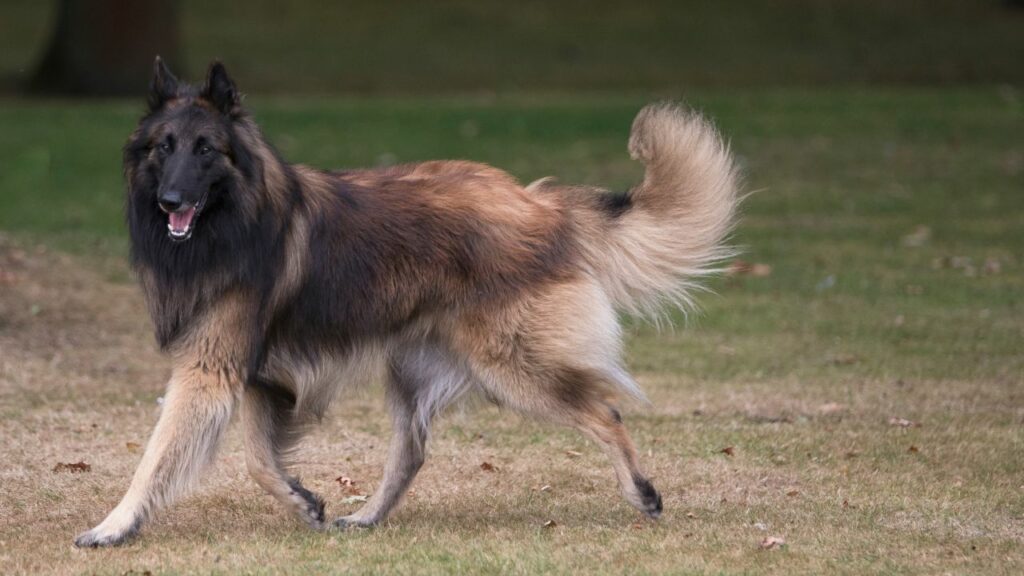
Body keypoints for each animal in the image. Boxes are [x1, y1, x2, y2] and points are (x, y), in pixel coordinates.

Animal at [75, 59, 741, 545]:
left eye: (206, 149)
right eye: (163, 147)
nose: (169, 200)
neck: (235, 216)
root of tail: (540, 204)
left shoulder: (210, 370)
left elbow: (159, 457)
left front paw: (113, 526)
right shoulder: (261, 375)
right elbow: (260, 462)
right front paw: (304, 501)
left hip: (513, 368)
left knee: (606, 412)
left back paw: (643, 492)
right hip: (412, 369)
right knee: (412, 453)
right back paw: (366, 517)